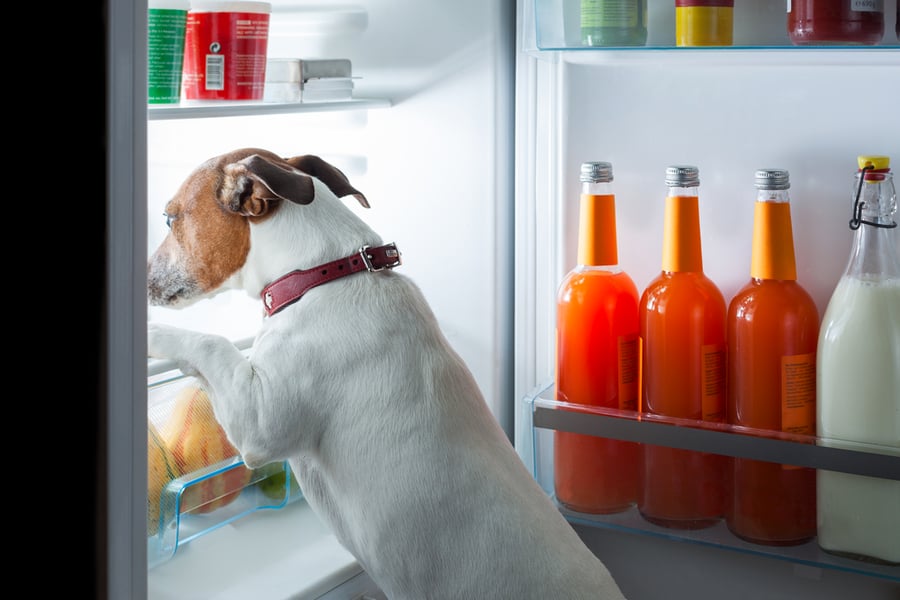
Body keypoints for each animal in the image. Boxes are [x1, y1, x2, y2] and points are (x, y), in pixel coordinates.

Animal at [146, 146, 624, 600]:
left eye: (170, 218)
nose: (144, 278)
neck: (322, 276)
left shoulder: (259, 424)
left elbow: (212, 343)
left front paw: (153, 332)